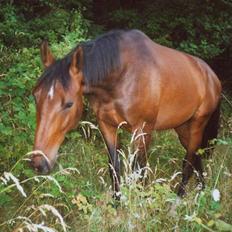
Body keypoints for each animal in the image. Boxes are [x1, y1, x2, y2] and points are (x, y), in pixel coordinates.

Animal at [30, 28, 221, 196]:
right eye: (35, 97)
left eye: (68, 104)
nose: (38, 163)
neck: (122, 74)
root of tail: (211, 76)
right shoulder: (107, 126)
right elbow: (114, 168)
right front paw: (117, 203)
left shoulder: (143, 130)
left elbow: (140, 172)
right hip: (182, 129)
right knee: (196, 158)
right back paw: (201, 193)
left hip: (197, 124)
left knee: (188, 163)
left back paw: (179, 199)